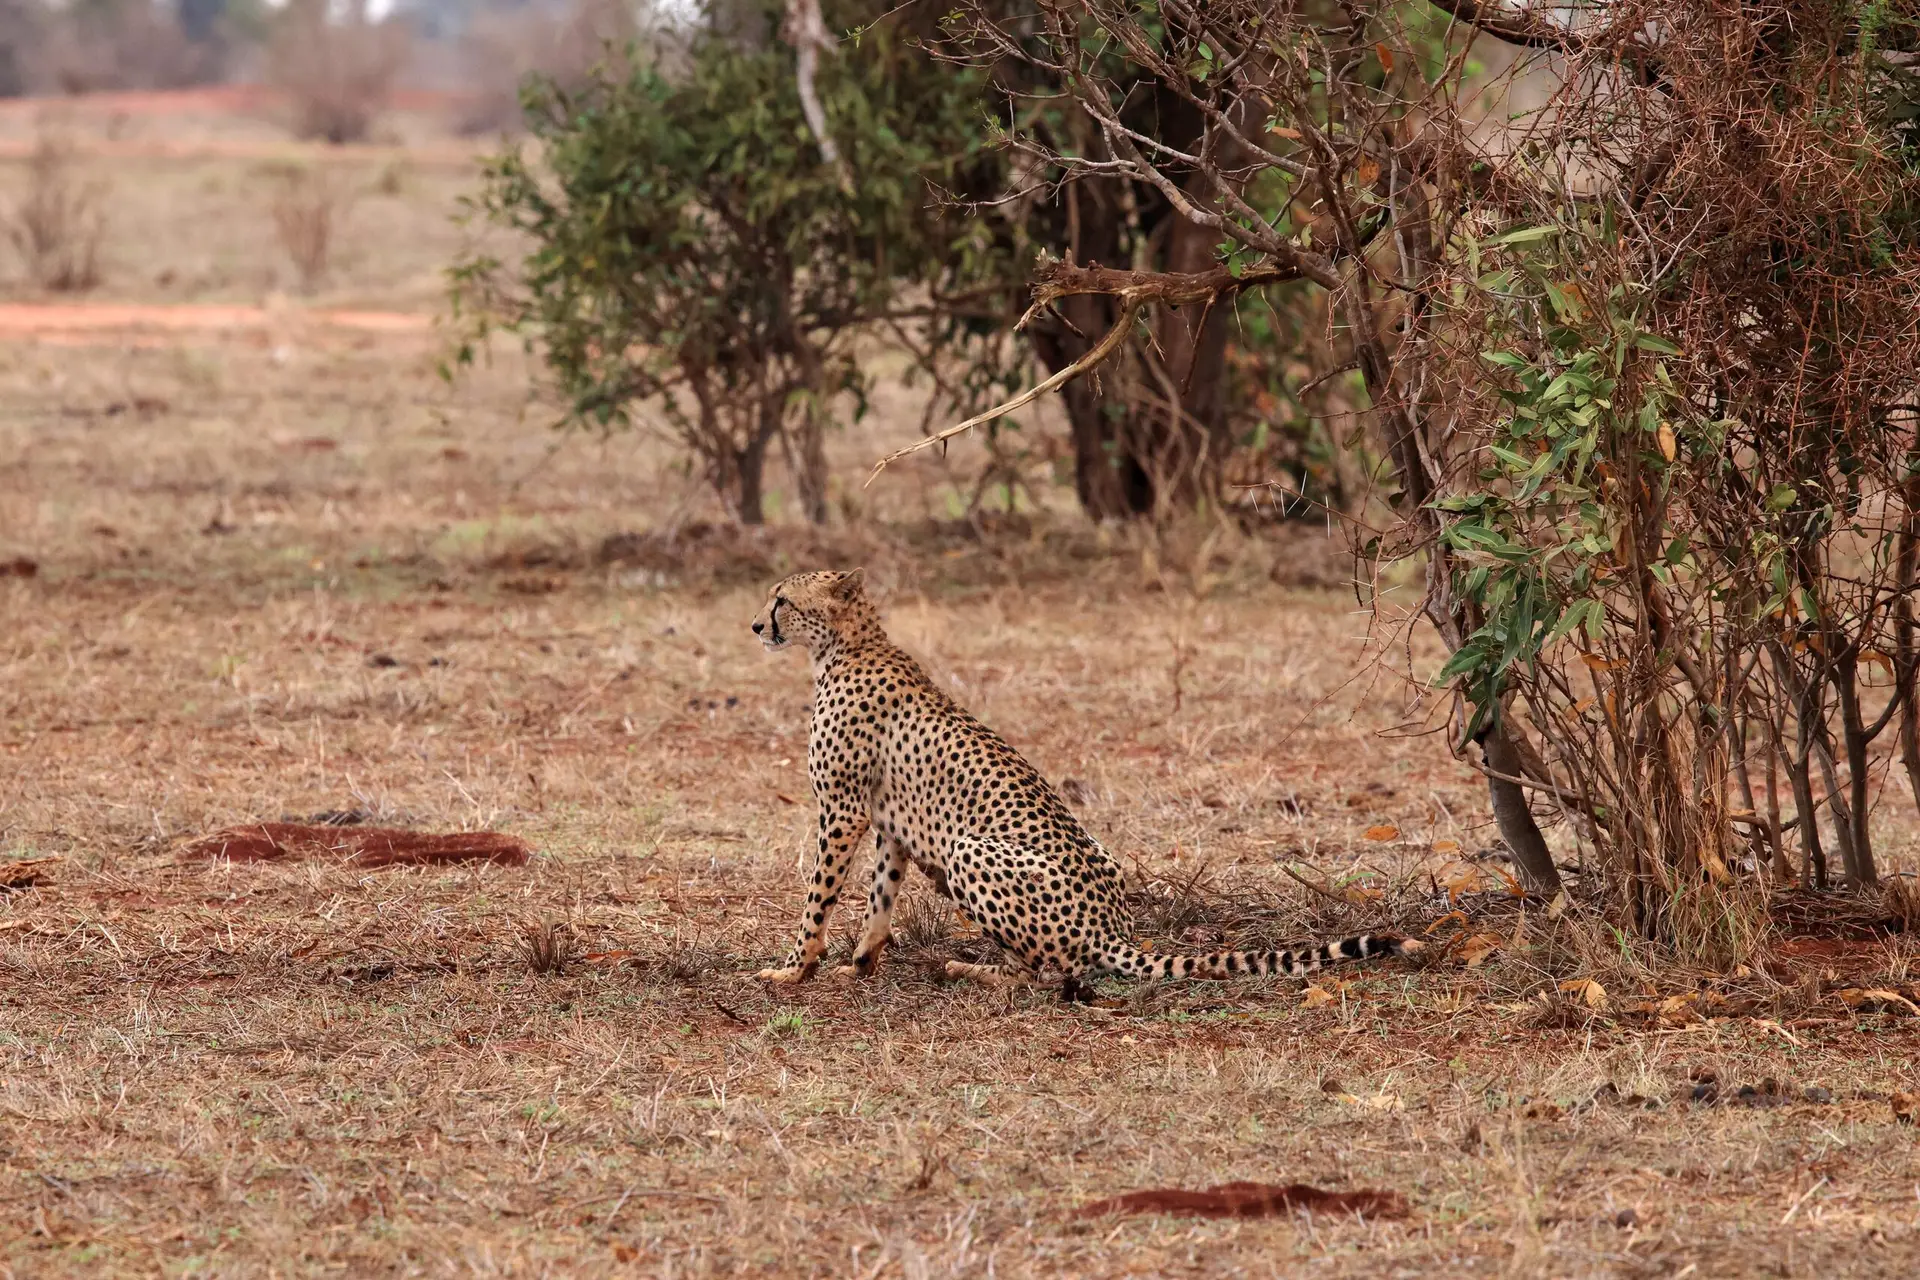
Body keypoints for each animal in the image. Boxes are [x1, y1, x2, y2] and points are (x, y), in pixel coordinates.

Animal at [748, 568, 1421, 994]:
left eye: (782, 600)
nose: (756, 627)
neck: (847, 645)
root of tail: (1113, 926)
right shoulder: (890, 823)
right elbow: (879, 900)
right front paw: (859, 966)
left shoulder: (842, 810)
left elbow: (819, 897)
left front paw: (795, 969)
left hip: (970, 851)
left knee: (1053, 973)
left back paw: (969, 972)